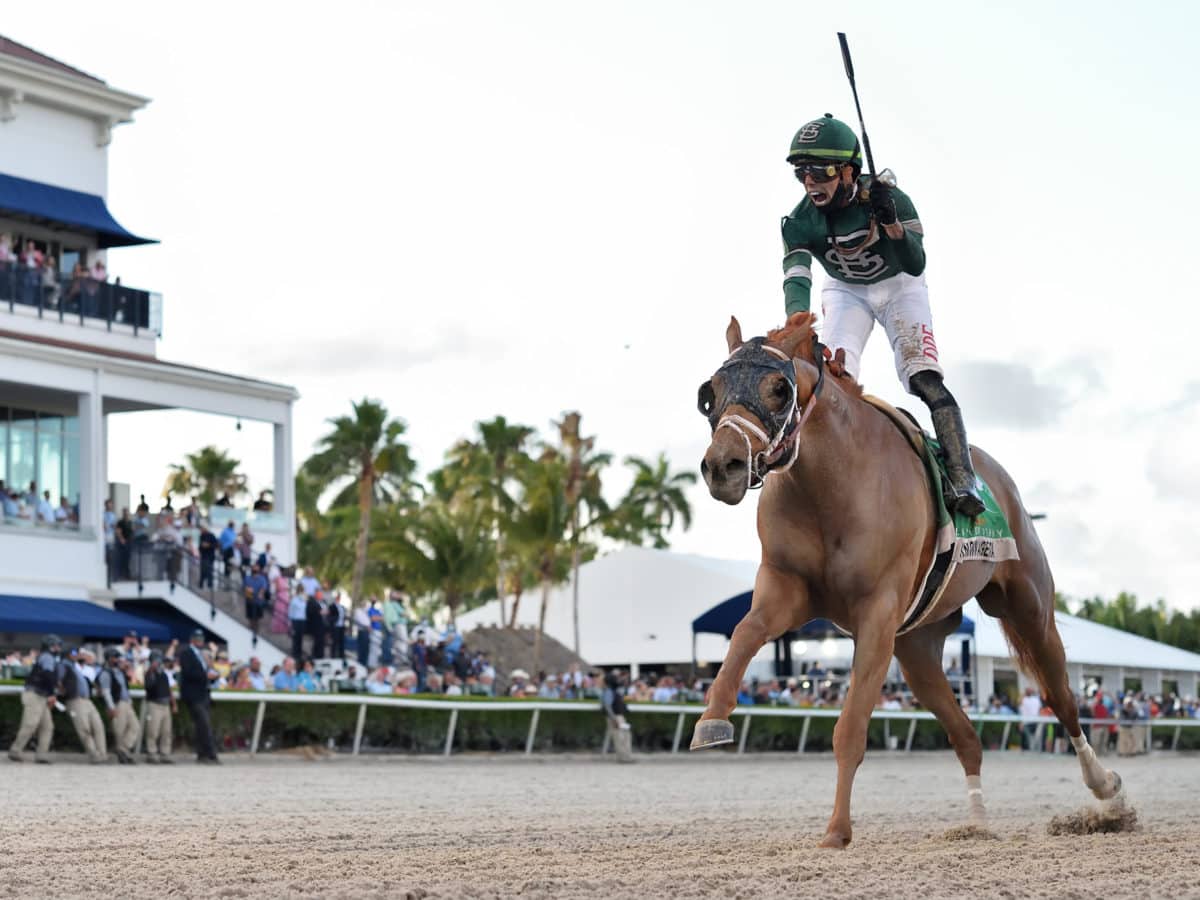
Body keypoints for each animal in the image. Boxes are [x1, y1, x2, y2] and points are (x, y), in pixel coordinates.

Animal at [691, 314, 1118, 854]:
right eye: (710, 392)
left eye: (778, 390)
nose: (721, 465)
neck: (830, 483)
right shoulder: (787, 590)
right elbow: (745, 633)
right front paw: (712, 718)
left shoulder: (876, 612)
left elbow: (850, 729)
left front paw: (837, 831)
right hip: (917, 650)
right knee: (967, 736)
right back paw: (976, 822)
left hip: (1030, 610)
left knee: (1063, 701)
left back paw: (1105, 789)